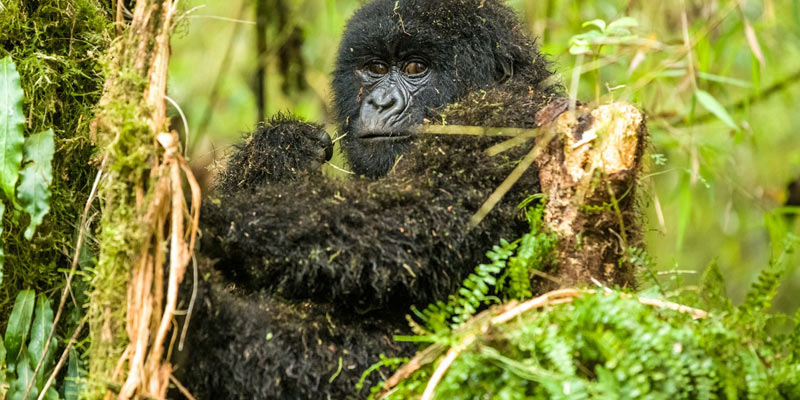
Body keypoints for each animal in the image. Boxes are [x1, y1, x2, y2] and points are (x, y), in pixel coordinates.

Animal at [175, 0, 564, 398]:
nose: (380, 102)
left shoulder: (502, 121)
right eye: (375, 69)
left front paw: (208, 219)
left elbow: (409, 223)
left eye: (415, 68)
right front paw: (278, 148)